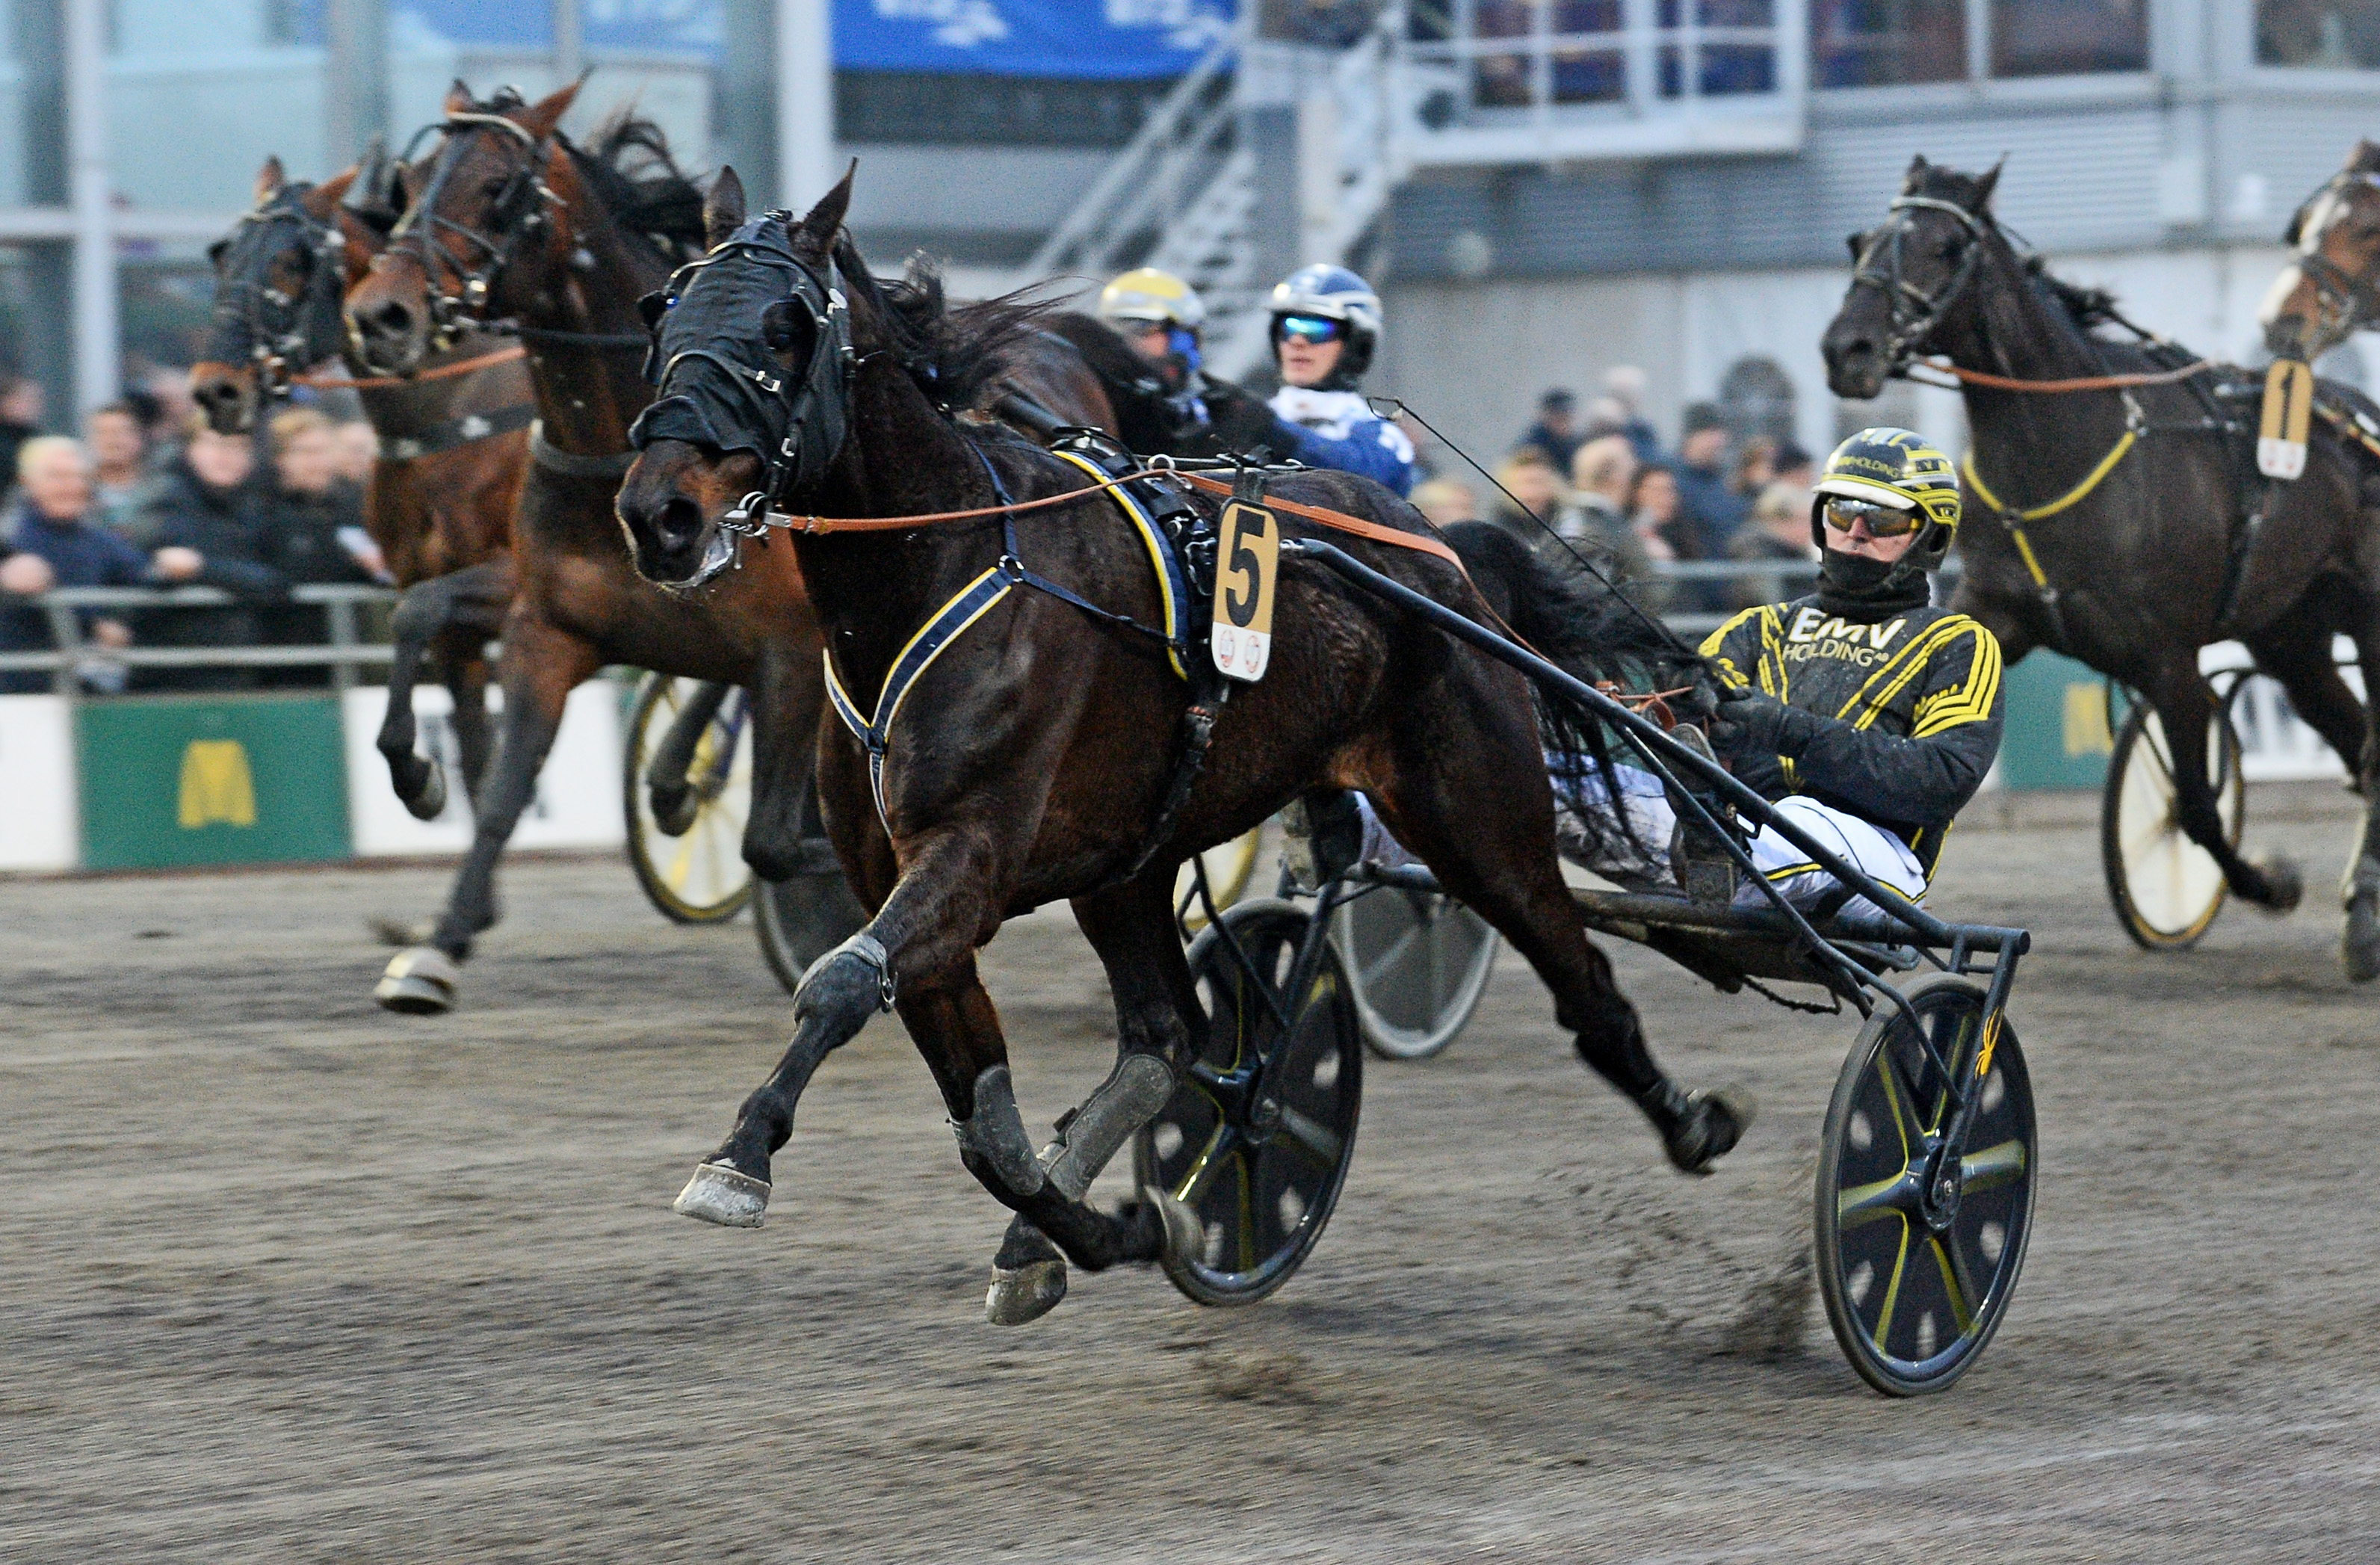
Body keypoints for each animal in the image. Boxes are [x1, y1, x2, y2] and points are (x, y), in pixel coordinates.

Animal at [190, 152, 531, 816]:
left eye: (290, 261)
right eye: (223, 255)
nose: (216, 390)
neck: (458, 410)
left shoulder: (519, 579)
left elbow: (416, 613)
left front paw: (417, 773)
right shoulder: (456, 626)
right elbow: (477, 761)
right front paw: (421, 770)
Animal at [613, 170, 1751, 1325]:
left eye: (784, 327)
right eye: (664, 309)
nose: (659, 513)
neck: (946, 562)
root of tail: (1440, 546)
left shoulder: (970, 855)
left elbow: (841, 986)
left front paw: (741, 1155)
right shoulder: (909, 878)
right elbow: (978, 1119)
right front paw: (1090, 1229)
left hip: (1477, 816)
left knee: (1580, 977)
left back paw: (1692, 1117)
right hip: (1129, 866)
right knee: (1168, 1036)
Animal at [1821, 155, 2380, 982]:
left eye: (1944, 247)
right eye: (1862, 240)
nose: (1847, 350)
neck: (2060, 444)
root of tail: (2357, 422)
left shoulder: (2168, 658)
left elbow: (2195, 807)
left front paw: (2268, 882)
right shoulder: (1997, 611)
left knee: (2369, 754)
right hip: (2293, 639)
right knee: (2353, 738)